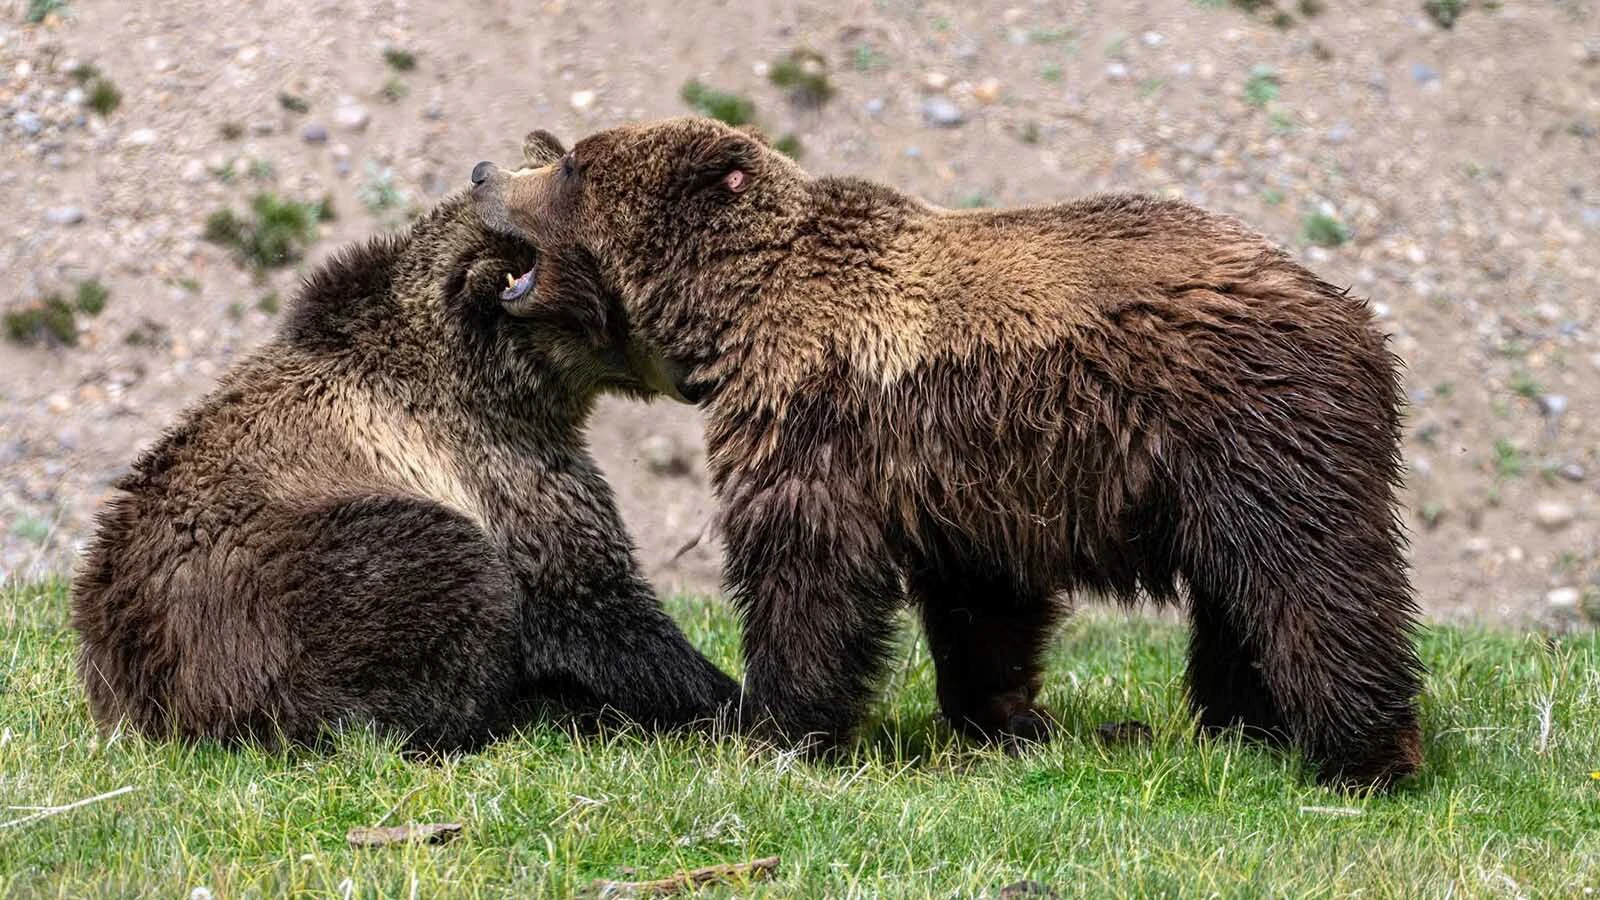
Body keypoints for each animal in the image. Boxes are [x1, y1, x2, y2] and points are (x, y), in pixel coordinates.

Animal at [70, 132, 738, 754]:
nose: (700, 367)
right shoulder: (502, 469)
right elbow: (601, 604)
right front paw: (720, 698)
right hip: (286, 589)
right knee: (447, 597)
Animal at [468, 118, 1425, 789]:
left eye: (573, 165)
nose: (483, 172)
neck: (739, 317)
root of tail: (1354, 317)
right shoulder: (961, 473)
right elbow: (982, 604)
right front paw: (1000, 718)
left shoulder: (824, 422)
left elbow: (808, 571)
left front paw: (772, 727)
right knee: (1240, 599)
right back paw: (1243, 727)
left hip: (1252, 429)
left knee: (1312, 579)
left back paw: (1365, 754)